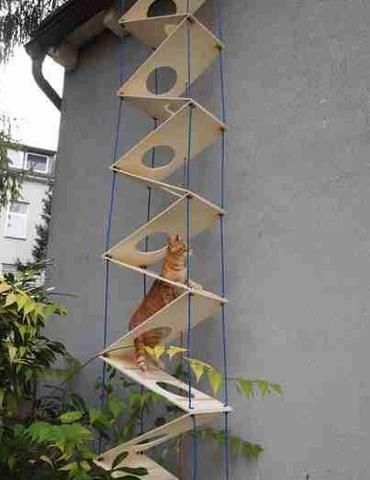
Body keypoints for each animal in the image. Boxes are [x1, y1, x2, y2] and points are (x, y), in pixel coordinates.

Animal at [129, 234, 189, 374]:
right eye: (184, 246)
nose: (191, 249)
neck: (179, 266)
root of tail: (132, 323)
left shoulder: (183, 282)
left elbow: (190, 283)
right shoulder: (168, 288)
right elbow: (171, 297)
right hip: (156, 334)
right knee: (150, 350)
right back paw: (160, 364)